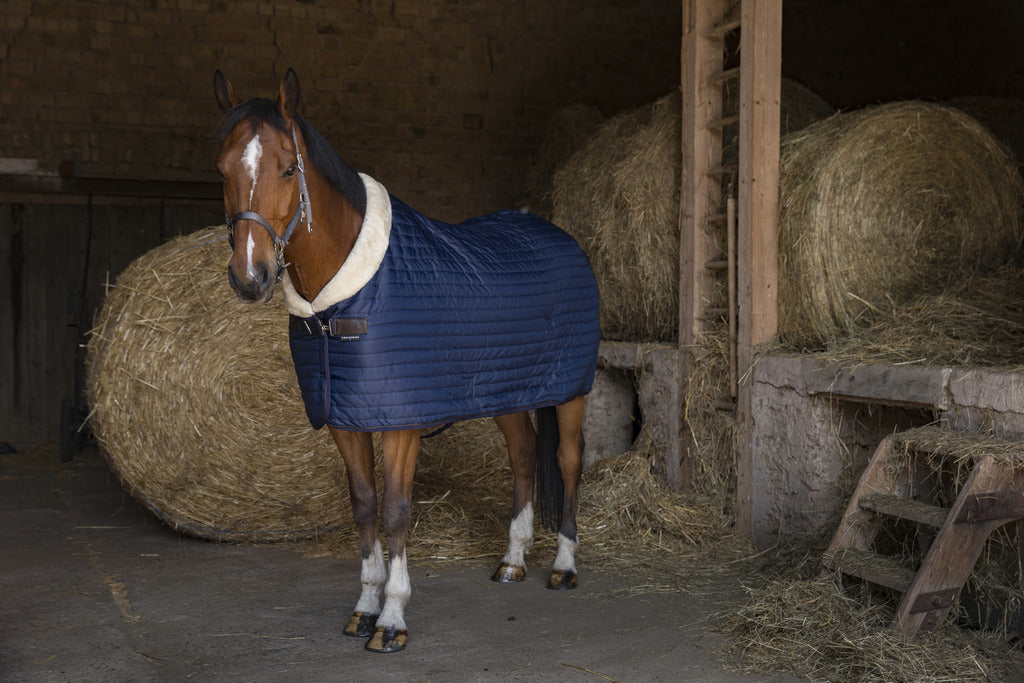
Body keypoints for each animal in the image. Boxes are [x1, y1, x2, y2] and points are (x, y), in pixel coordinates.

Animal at [214, 68, 598, 651]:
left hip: (571, 390)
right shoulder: (346, 420)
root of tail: (561, 237)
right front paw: (364, 607)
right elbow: (364, 505)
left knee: (568, 460)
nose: (250, 276)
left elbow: (395, 512)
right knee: (524, 455)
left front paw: (392, 618)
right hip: (506, 391)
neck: (343, 302)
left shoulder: (401, 423)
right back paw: (511, 560)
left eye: (288, 168)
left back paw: (563, 566)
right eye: (222, 169)